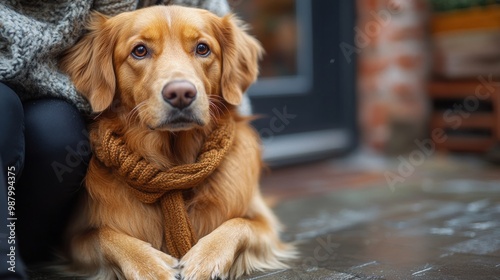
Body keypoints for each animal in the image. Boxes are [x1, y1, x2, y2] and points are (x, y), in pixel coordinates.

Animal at [61, 4, 296, 280]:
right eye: (140, 50)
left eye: (202, 48)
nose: (181, 93)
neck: (174, 165)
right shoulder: (73, 239)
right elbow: (104, 235)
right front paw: (150, 267)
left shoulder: (264, 224)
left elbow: (240, 224)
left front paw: (206, 258)